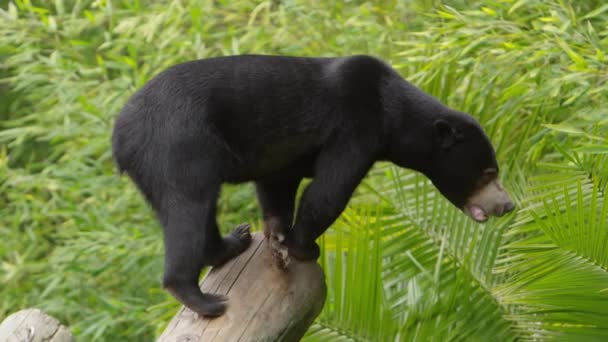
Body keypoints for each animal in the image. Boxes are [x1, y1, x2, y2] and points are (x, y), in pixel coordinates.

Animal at [113, 54, 512, 318]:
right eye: (488, 173)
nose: (508, 205)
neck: (393, 115)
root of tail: (120, 137)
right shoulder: (356, 127)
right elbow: (329, 191)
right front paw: (306, 248)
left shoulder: (285, 155)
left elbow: (279, 183)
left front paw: (277, 235)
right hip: (178, 146)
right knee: (188, 211)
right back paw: (204, 299)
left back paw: (234, 242)